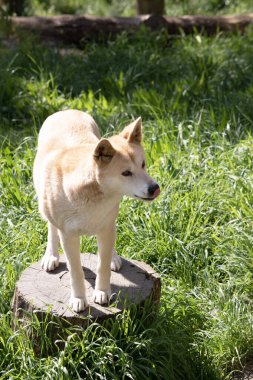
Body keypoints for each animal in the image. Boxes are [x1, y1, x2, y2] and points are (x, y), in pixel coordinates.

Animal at [33, 109, 160, 312]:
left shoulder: (106, 227)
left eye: (143, 164)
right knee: (51, 227)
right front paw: (79, 300)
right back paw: (51, 256)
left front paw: (102, 292)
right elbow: (76, 271)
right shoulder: (68, 236)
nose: (155, 188)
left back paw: (114, 258)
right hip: (44, 203)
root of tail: (68, 110)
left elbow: (103, 265)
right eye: (126, 173)